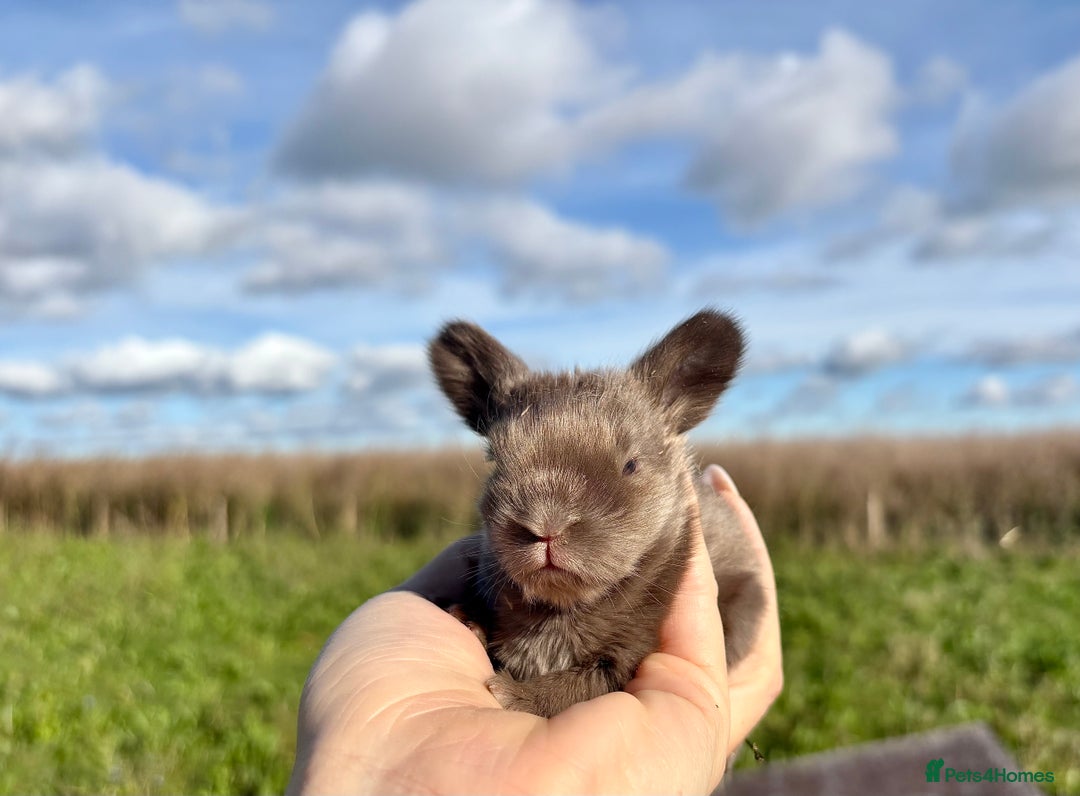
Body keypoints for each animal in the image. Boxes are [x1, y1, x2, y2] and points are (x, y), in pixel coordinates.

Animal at [427, 308, 765, 718]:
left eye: (631, 465)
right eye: (495, 460)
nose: (546, 527)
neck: (560, 611)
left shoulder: (624, 657)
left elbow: (578, 687)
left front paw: (515, 695)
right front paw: (467, 619)